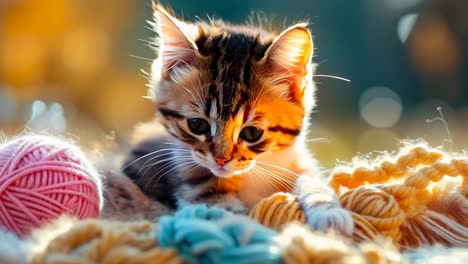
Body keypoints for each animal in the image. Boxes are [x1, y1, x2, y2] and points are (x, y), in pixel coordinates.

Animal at [122, 3, 352, 235]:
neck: (252, 174)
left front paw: (328, 211)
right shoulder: (192, 181)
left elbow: (311, 178)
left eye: (252, 132)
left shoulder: (295, 162)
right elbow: (227, 212)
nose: (221, 160)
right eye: (197, 125)